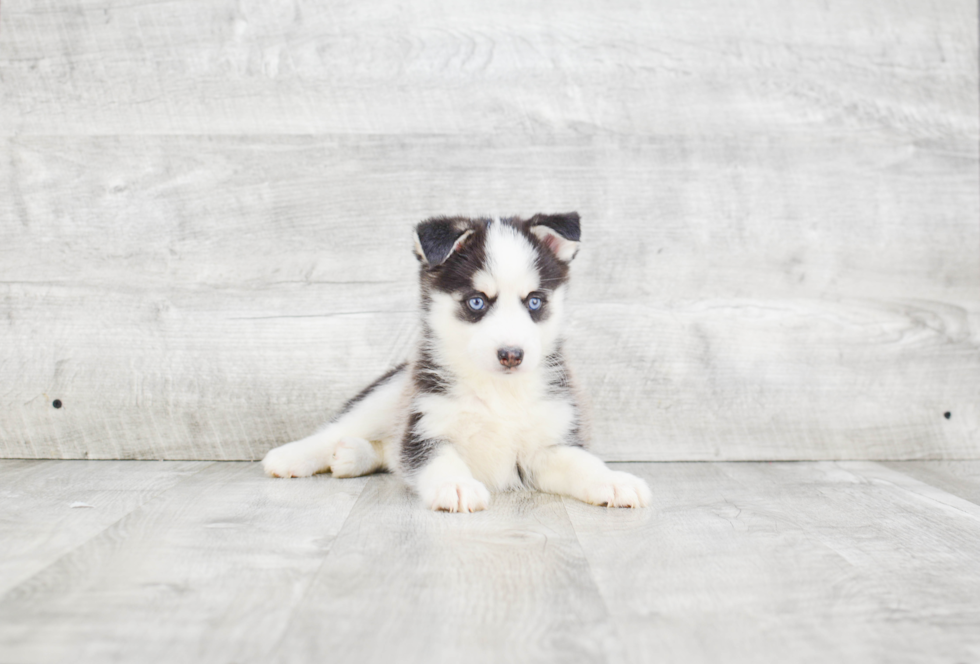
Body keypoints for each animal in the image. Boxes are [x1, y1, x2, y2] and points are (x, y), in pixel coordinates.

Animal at [264, 214, 656, 512]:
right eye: (476, 302)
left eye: (534, 301)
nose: (511, 354)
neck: (499, 393)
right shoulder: (426, 426)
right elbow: (438, 459)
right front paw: (456, 485)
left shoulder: (548, 445)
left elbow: (583, 463)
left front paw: (613, 481)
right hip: (392, 392)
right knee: (342, 428)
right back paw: (292, 456)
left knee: (387, 450)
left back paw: (352, 455)